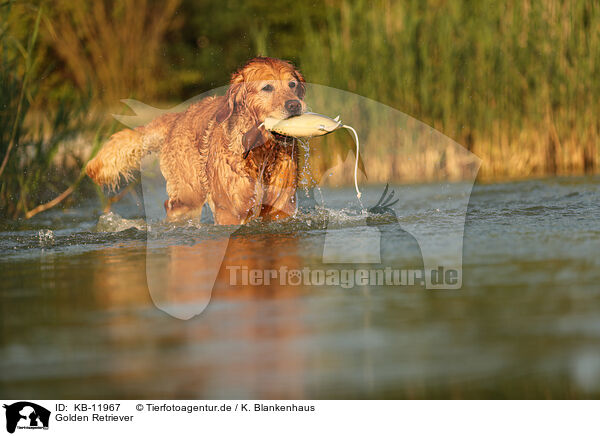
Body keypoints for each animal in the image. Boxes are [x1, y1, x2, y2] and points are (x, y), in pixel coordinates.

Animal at [86, 57, 308, 225]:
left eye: (292, 85)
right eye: (267, 87)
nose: (295, 105)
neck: (262, 152)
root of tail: (177, 117)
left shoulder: (281, 206)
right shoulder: (231, 210)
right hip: (188, 195)